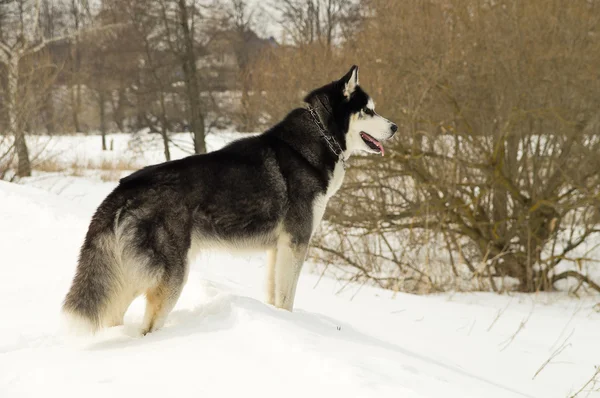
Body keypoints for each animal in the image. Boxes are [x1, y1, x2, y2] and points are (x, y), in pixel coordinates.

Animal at [63, 67, 396, 334]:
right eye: (368, 110)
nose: (395, 127)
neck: (319, 138)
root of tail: (124, 187)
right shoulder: (296, 242)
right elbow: (287, 298)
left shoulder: (279, 248)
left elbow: (274, 296)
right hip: (168, 277)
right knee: (146, 326)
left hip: (131, 274)